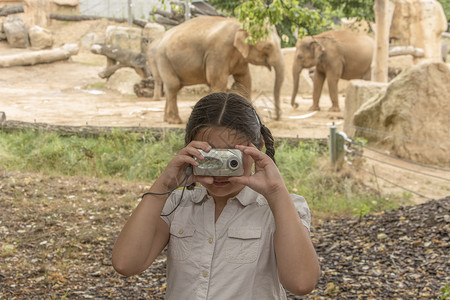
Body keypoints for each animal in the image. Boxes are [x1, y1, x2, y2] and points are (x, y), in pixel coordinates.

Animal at [147, 14, 284, 123]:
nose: (276, 118)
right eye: (268, 47)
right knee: (173, 85)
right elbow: (218, 81)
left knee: (172, 87)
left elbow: (244, 80)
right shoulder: (218, 52)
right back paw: (175, 121)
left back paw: (167, 119)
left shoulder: (240, 58)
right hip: (163, 59)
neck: (240, 24)